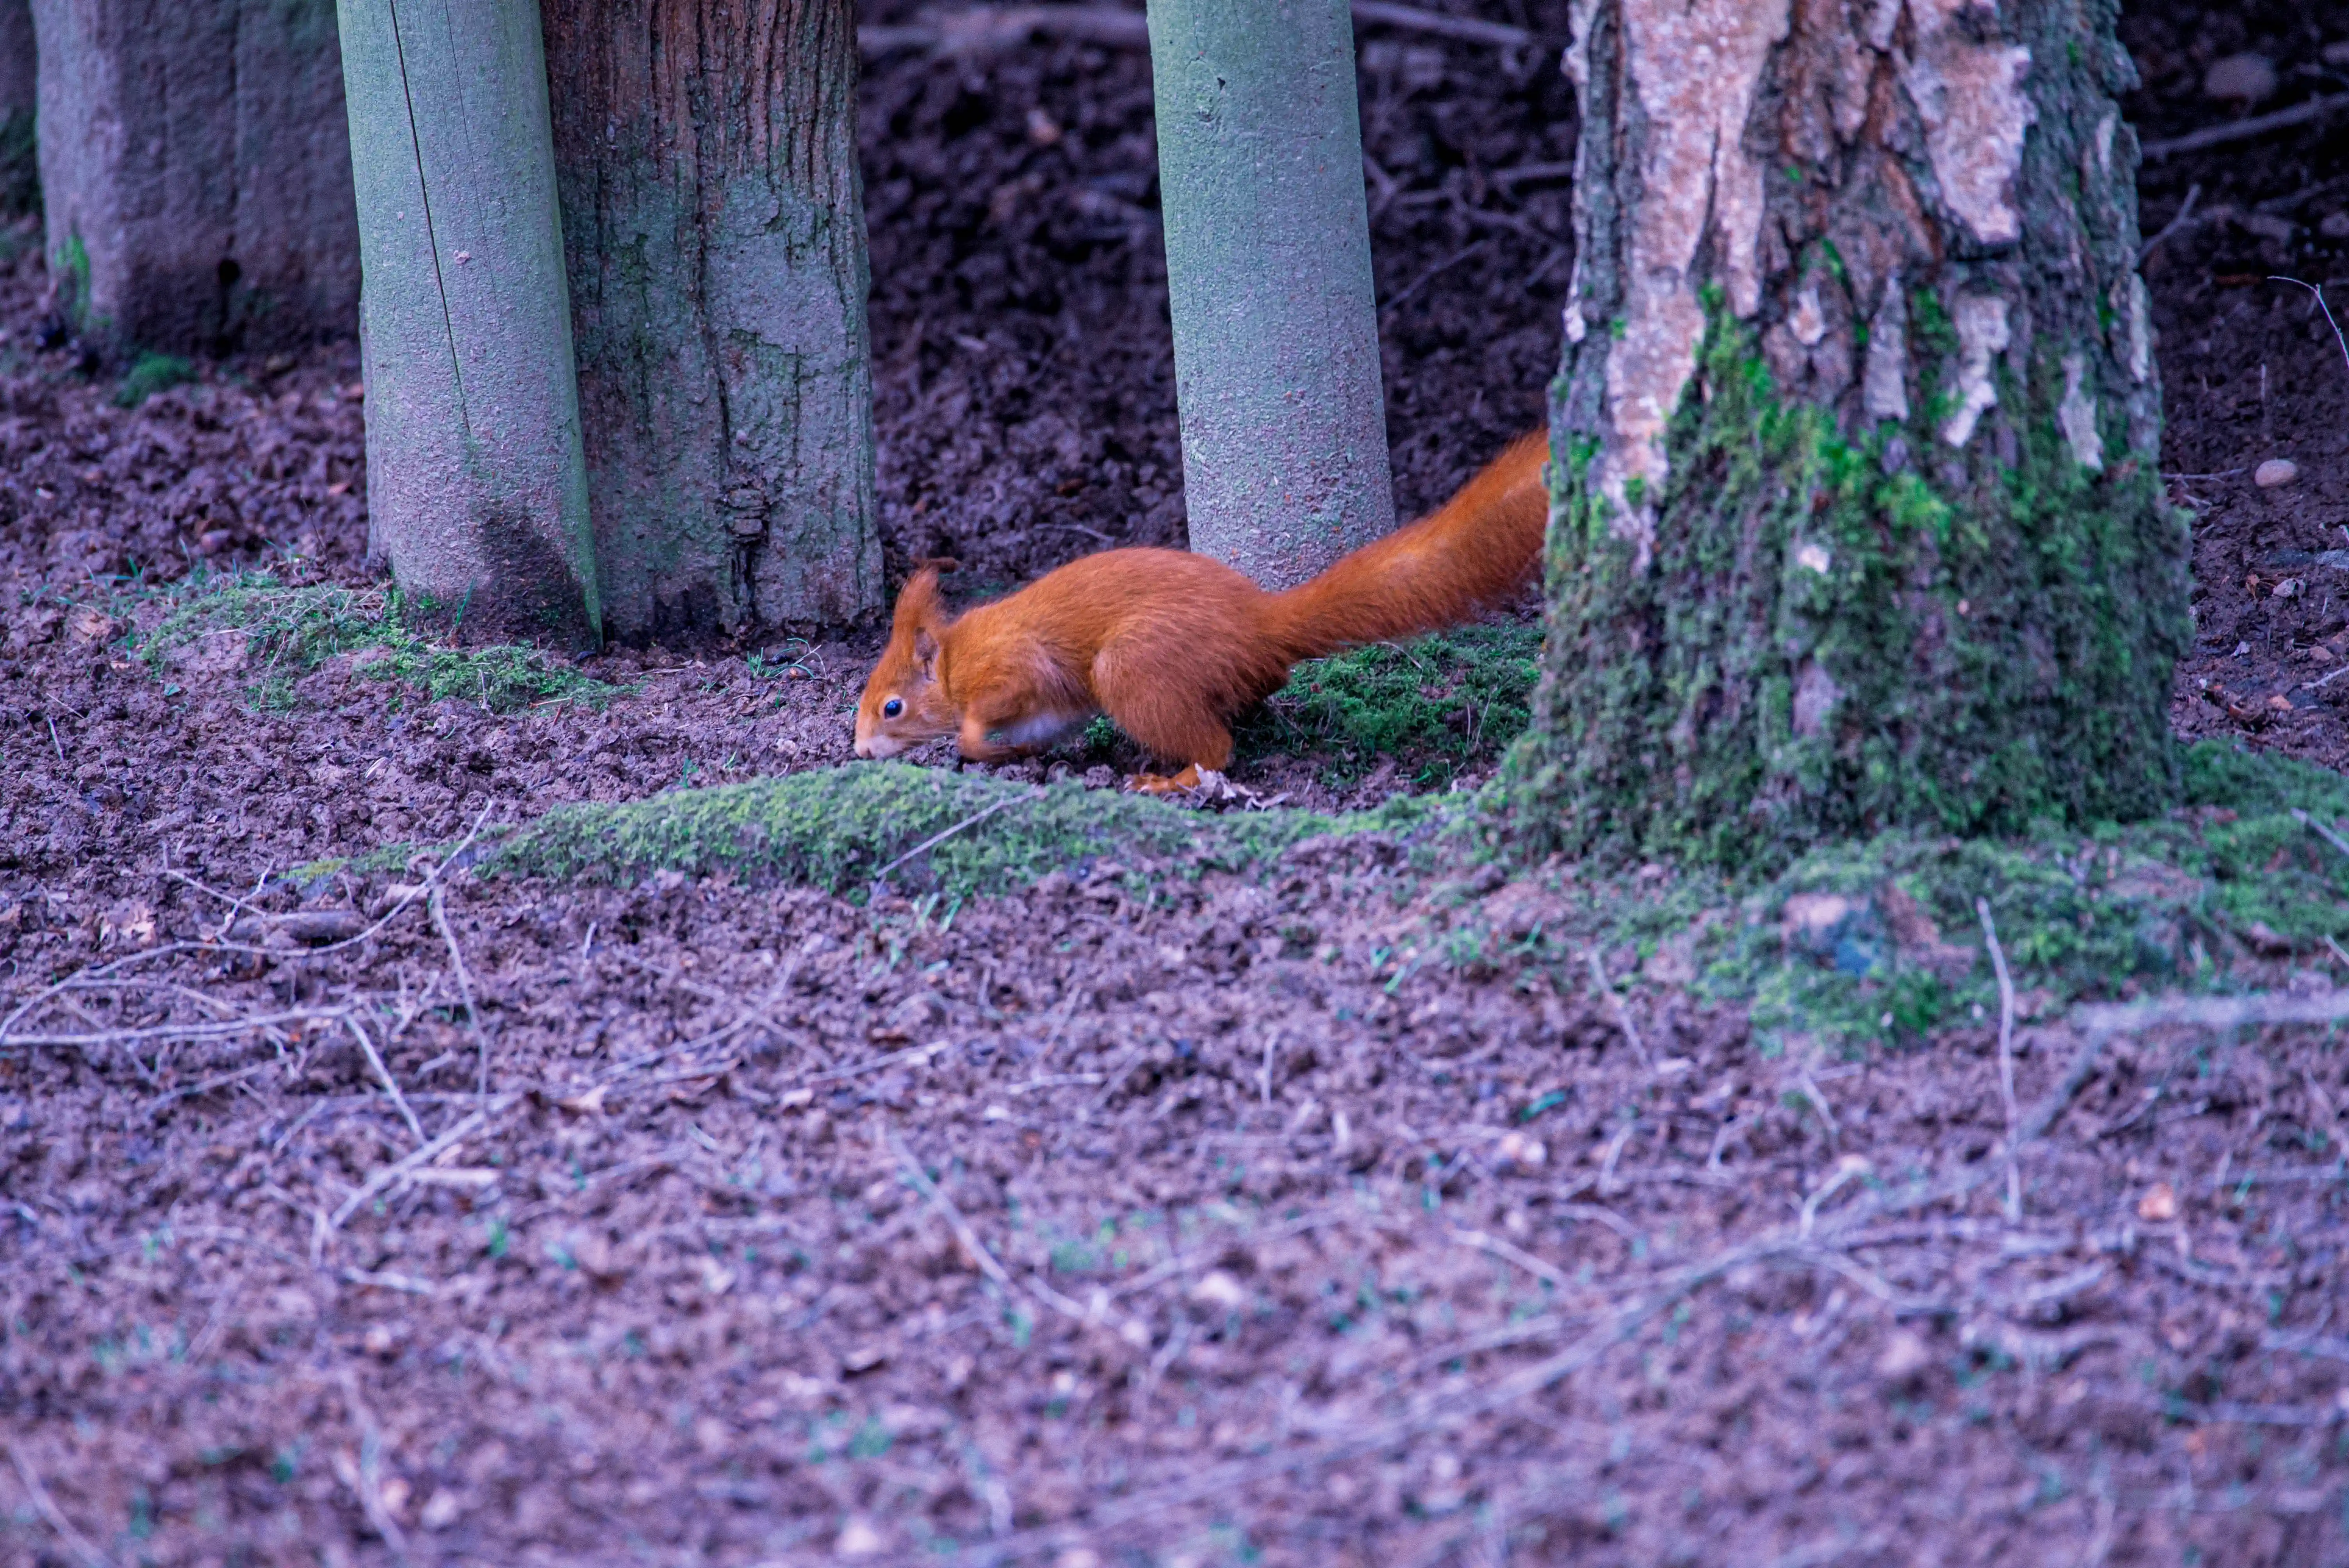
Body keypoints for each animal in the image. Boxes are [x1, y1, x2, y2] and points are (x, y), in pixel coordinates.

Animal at [853, 429, 1548, 793]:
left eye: (893, 707)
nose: (858, 752)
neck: (951, 663)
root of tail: (1261, 627)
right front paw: (1010, 753)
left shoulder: (1008, 668)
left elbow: (989, 712)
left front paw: (977, 744)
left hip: (1136, 670)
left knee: (1216, 750)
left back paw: (1170, 780)